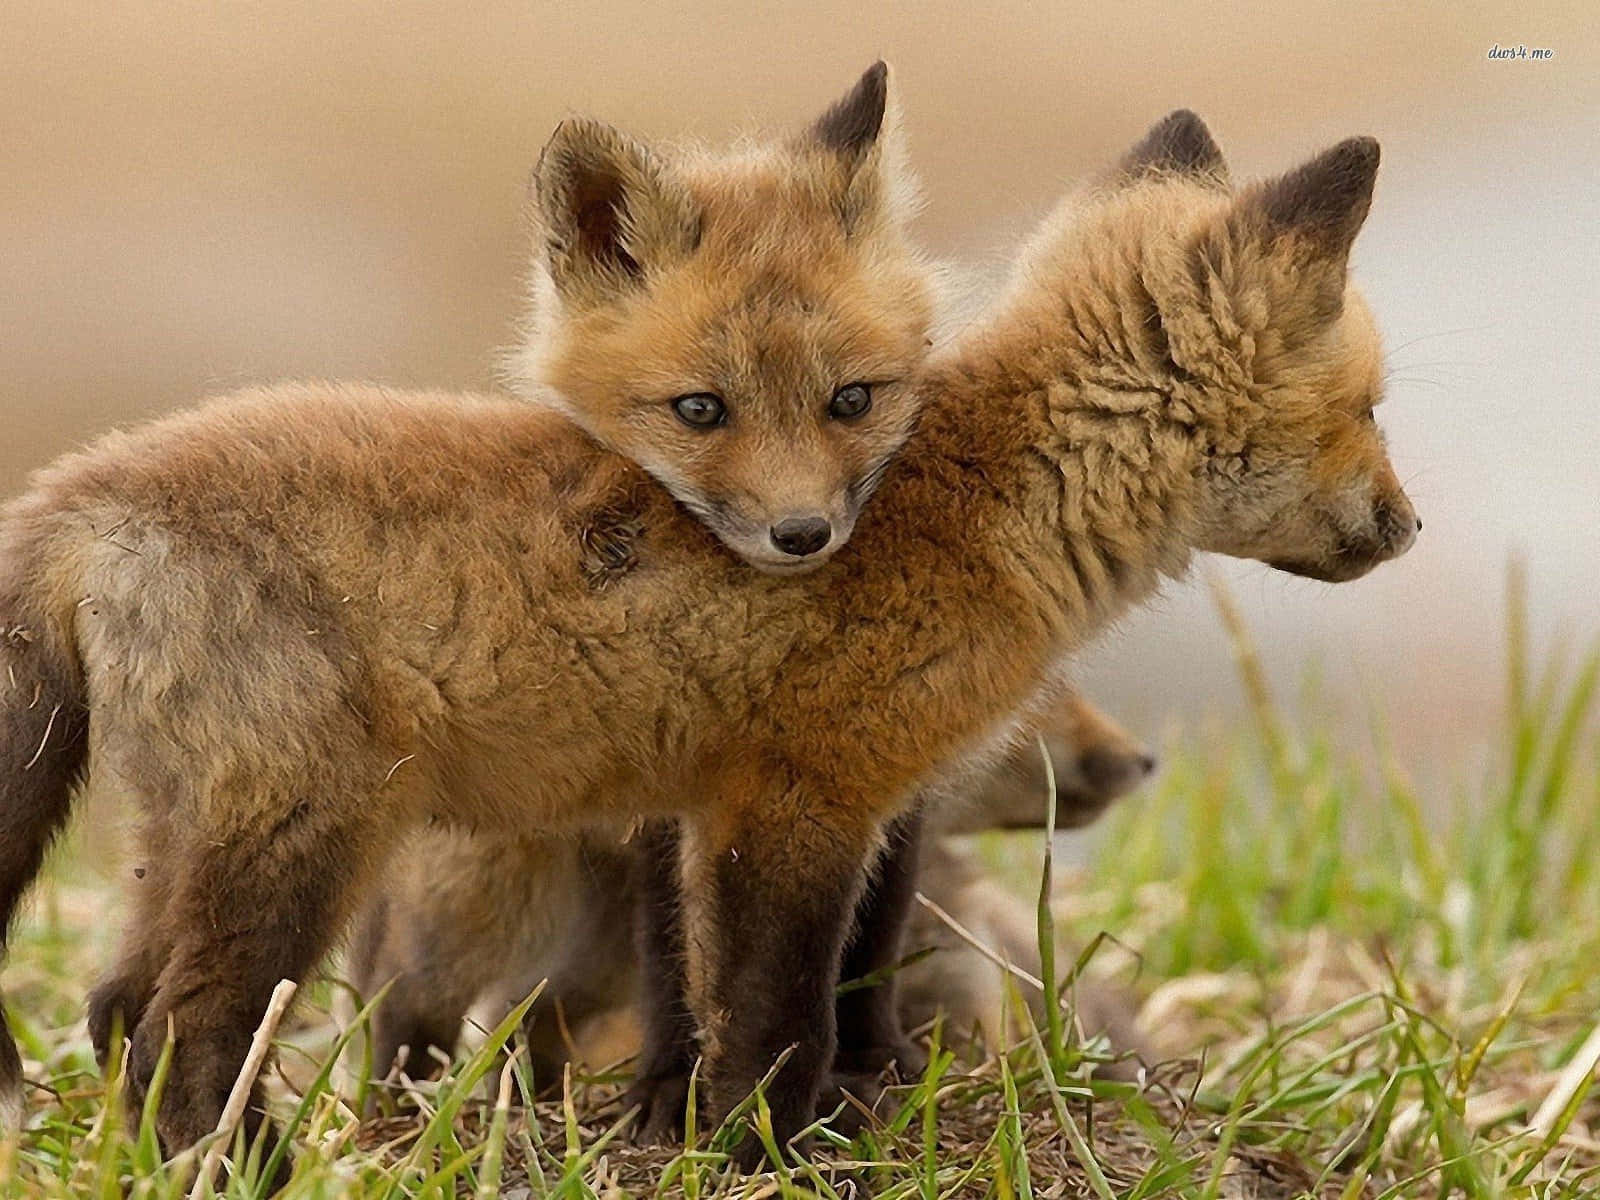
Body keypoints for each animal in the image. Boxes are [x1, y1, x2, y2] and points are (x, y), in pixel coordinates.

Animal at [344, 690, 1156, 1089]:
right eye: (1045, 704)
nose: (1140, 761)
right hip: (489, 898)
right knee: (409, 1000)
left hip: (585, 952)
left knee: (530, 1016)